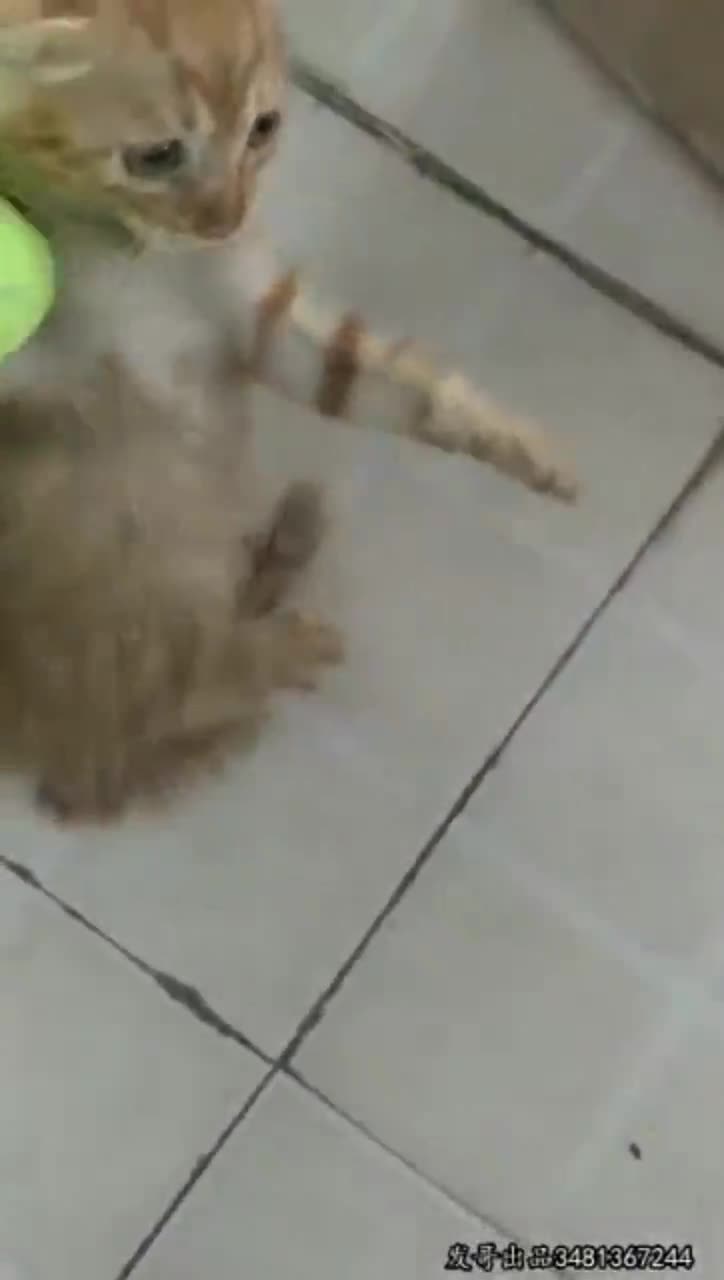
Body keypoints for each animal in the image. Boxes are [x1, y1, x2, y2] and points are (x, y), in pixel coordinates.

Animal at [0, 0, 576, 822]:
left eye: (262, 130)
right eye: (157, 156)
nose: (229, 215)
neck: (136, 250)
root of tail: (51, 759)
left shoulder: (258, 322)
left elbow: (379, 377)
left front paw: (519, 444)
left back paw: (285, 557)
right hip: (140, 603)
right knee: (193, 690)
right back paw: (286, 643)